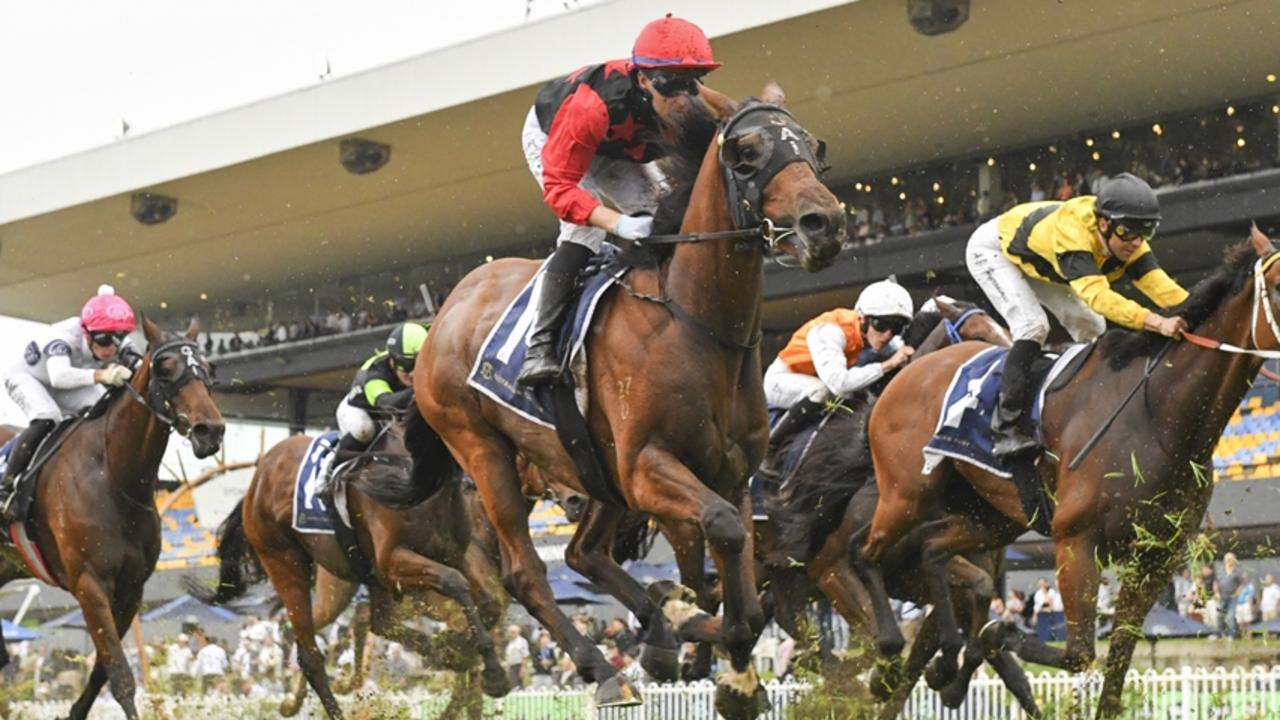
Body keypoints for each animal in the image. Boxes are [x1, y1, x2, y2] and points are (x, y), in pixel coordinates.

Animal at [0, 319, 222, 717]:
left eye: (208, 368)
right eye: (166, 368)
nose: (210, 430)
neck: (115, 477)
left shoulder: (131, 589)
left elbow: (103, 671)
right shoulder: (90, 584)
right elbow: (119, 675)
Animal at [192, 425, 506, 717]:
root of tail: (258, 476)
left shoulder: (451, 555)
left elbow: (486, 603)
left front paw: (458, 650)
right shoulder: (394, 560)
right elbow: (455, 584)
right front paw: (488, 670)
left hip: (366, 577)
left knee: (378, 622)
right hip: (287, 564)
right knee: (311, 653)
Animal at [409, 89, 844, 712]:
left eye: (812, 146)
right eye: (745, 154)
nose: (824, 223)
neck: (692, 321)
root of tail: (444, 312)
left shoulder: (732, 476)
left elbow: (740, 583)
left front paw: (732, 676)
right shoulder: (647, 467)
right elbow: (722, 538)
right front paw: (706, 644)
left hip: (590, 465)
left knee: (582, 553)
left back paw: (658, 634)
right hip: (484, 450)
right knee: (526, 571)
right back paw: (605, 668)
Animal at [849, 228, 1280, 712]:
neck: (1159, 415)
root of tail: (905, 375)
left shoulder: (1156, 557)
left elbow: (1113, 672)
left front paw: (963, 662)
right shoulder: (1077, 541)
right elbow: (1074, 652)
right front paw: (994, 635)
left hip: (989, 516)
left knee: (933, 549)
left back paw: (944, 661)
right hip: (907, 492)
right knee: (863, 551)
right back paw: (888, 655)